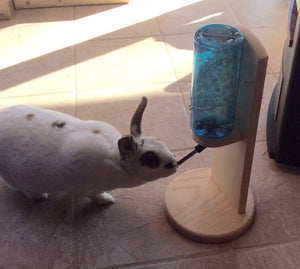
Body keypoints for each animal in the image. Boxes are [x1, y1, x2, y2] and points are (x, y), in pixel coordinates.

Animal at [0, 96, 178, 203]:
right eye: (150, 158)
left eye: (159, 140)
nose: (175, 163)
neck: (116, 160)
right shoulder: (89, 189)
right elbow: (97, 196)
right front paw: (109, 201)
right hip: (17, 179)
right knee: (23, 190)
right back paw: (41, 196)